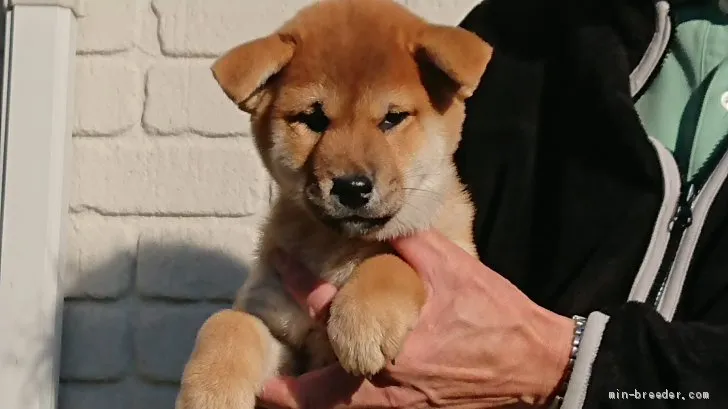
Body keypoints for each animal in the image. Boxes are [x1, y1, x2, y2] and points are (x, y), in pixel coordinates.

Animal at [176, 0, 492, 406]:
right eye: (314, 119)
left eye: (393, 118)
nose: (352, 187)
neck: (340, 249)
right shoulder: (278, 321)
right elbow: (227, 323)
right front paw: (209, 390)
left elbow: (394, 259)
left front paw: (363, 319)